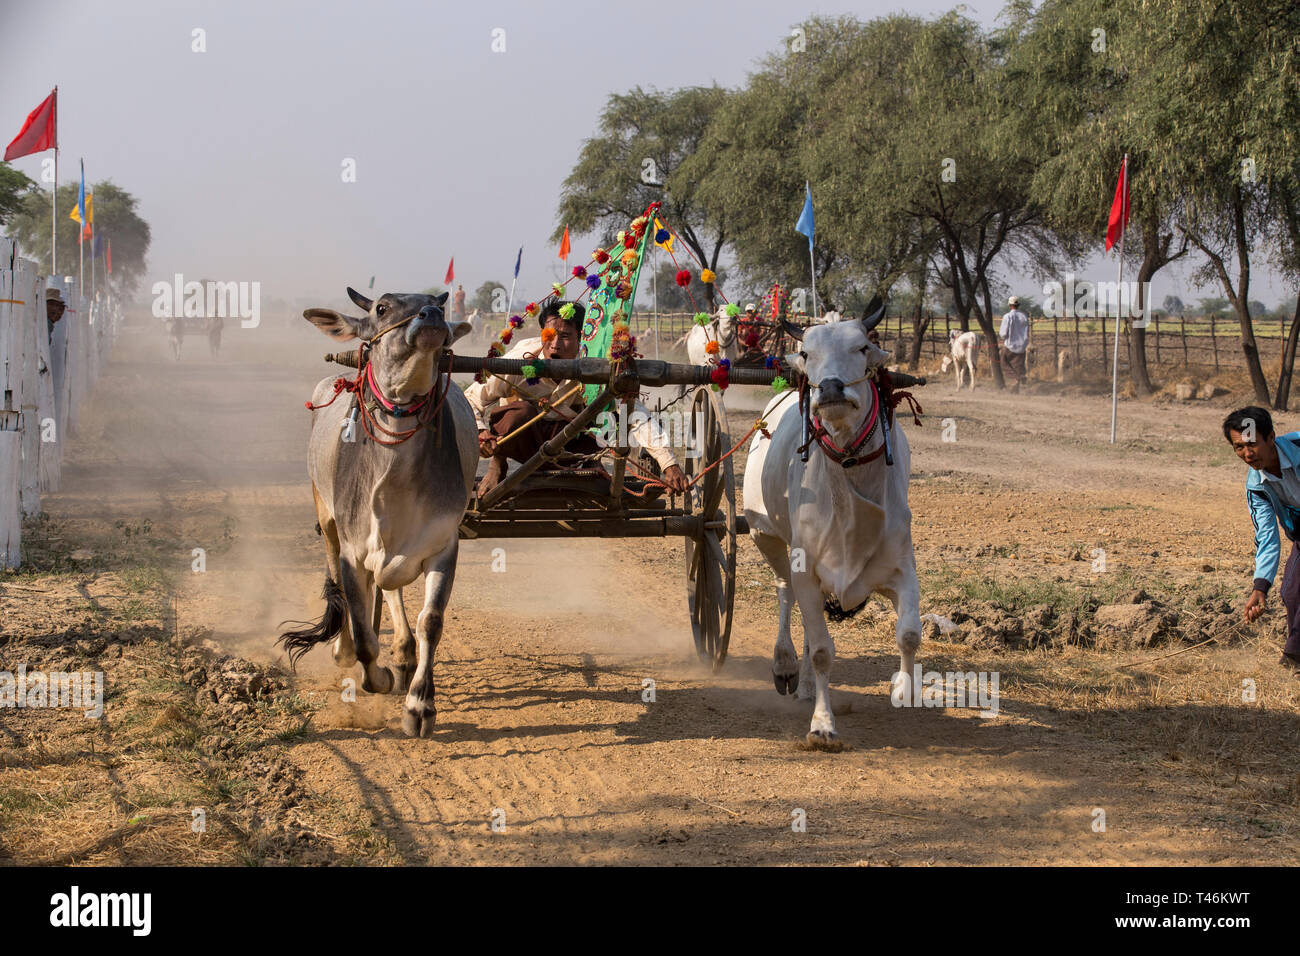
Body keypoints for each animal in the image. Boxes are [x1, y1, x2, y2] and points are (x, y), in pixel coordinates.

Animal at [743, 299, 925, 749]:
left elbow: (909, 634)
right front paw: (822, 725)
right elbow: (824, 651)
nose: (828, 388)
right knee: (785, 595)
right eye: (807, 353)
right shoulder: (804, 566)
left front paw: (905, 689)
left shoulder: (901, 567)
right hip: (765, 535)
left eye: (862, 347)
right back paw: (787, 667)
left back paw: (807, 685)